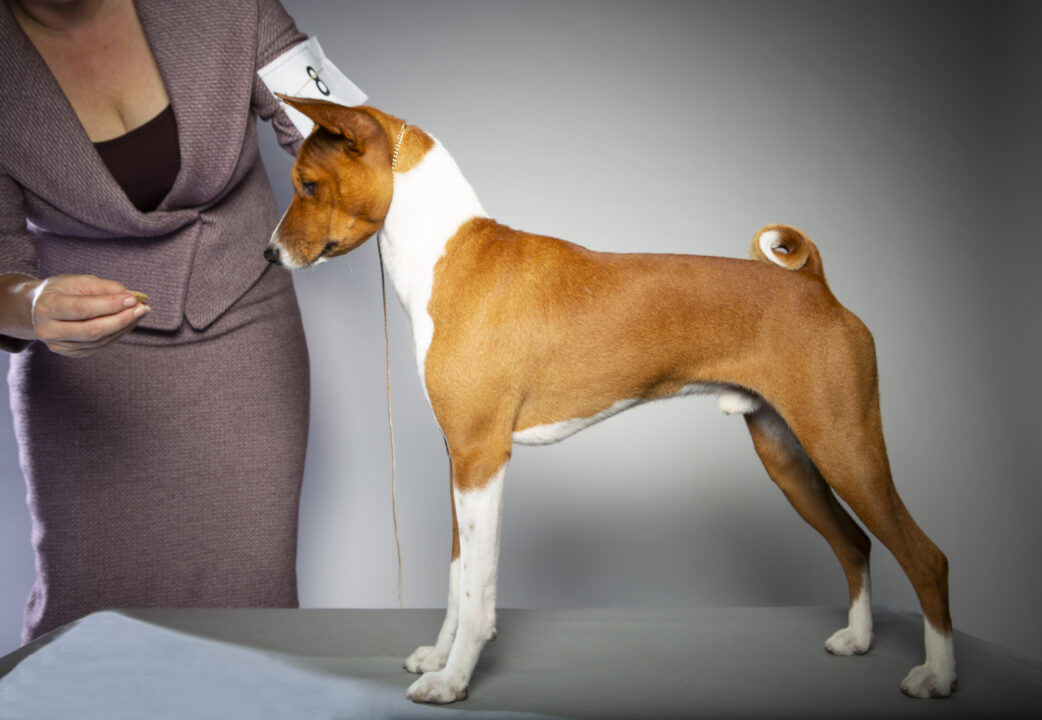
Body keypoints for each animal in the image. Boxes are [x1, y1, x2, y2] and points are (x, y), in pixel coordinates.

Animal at [264, 95, 954, 704]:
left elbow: (478, 591)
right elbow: (459, 576)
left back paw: (937, 676)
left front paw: (452, 681)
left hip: (845, 448)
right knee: (855, 544)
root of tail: (816, 285)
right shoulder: (460, 459)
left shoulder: (482, 458)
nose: (268, 253)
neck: (449, 255)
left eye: (307, 184)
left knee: (927, 558)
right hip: (789, 457)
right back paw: (859, 640)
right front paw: (439, 656)